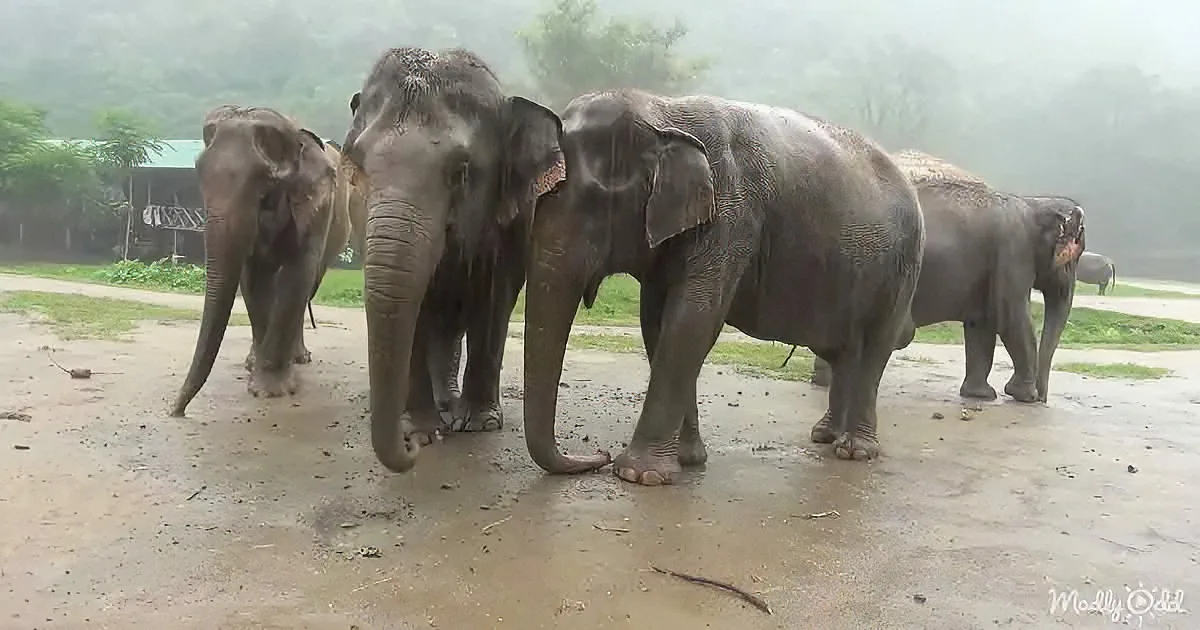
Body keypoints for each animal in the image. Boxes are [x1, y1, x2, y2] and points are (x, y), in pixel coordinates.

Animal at [170, 106, 348, 417]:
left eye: (266, 194)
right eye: (199, 176)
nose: (176, 411)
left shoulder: (317, 211)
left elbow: (296, 276)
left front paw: (270, 391)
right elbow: (254, 280)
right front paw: (259, 373)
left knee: (308, 285)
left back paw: (299, 358)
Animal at [341, 47, 565, 473]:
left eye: (461, 172)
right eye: (357, 169)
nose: (410, 448)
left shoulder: (511, 223)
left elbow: (493, 302)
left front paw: (478, 423)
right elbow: (415, 309)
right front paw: (421, 429)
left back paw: (453, 406)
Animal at [520, 90, 926, 485]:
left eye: (593, 204)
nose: (597, 456)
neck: (663, 111)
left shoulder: (731, 216)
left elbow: (693, 318)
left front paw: (638, 474)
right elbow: (657, 323)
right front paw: (686, 460)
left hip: (904, 267)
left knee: (875, 347)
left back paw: (854, 451)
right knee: (843, 351)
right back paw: (826, 436)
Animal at [808, 150, 1086, 404]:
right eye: (1073, 258)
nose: (1043, 398)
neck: (1033, 204)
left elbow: (981, 323)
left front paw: (980, 395)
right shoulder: (1013, 254)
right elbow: (1012, 318)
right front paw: (1023, 396)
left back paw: (824, 380)